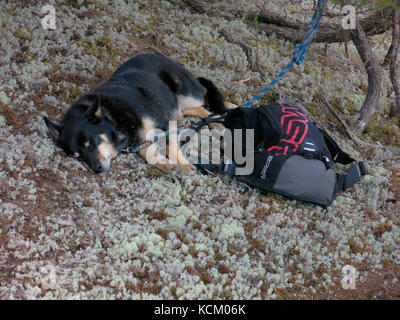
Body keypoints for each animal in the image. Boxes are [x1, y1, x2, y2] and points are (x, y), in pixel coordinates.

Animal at [43, 53, 234, 176]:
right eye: (78, 156)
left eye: (91, 144)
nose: (96, 169)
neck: (114, 117)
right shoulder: (142, 140)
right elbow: (150, 154)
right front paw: (167, 165)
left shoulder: (165, 123)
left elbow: (171, 146)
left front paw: (184, 165)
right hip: (179, 104)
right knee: (198, 108)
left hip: (185, 94)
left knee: (205, 100)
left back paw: (223, 115)